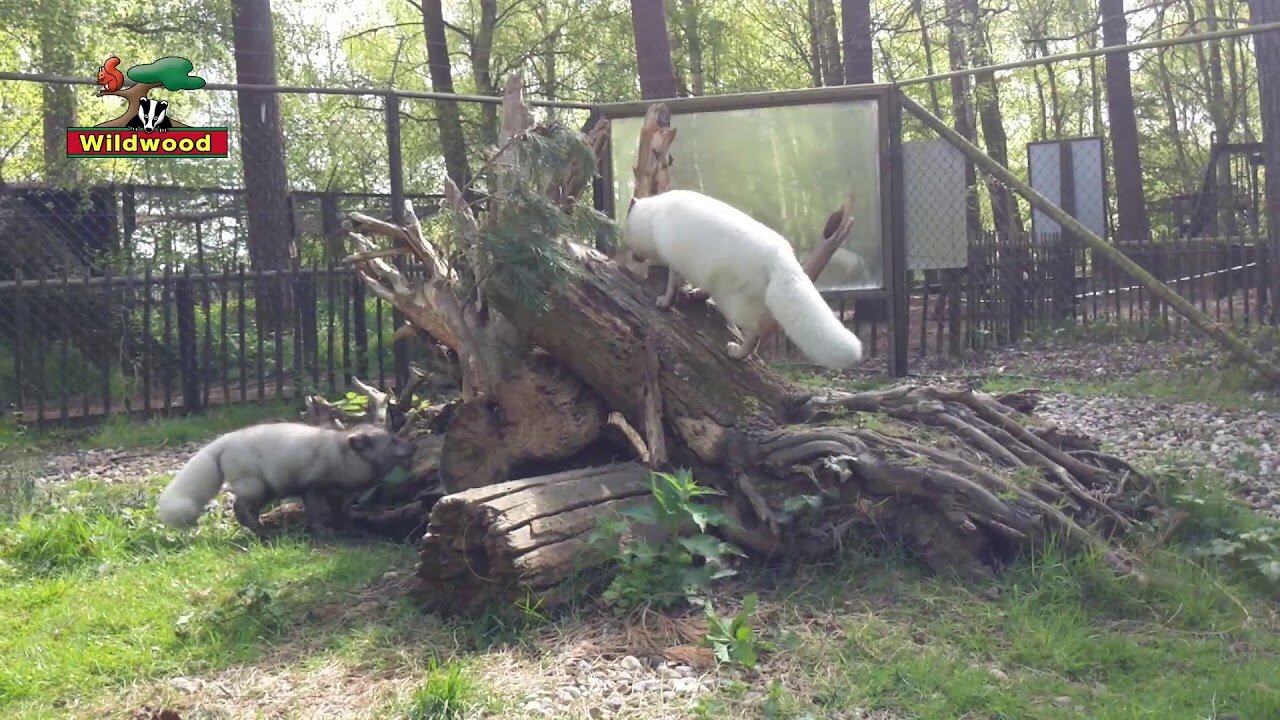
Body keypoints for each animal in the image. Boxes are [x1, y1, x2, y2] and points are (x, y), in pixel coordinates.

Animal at [154, 422, 414, 535]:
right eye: (392, 441)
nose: (413, 445)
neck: (341, 456)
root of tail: (222, 441)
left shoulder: (335, 495)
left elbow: (340, 513)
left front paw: (348, 528)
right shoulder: (312, 489)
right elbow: (315, 512)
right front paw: (322, 531)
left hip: (267, 491)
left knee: (248, 509)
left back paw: (261, 528)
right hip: (256, 487)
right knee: (238, 506)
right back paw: (260, 531)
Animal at [616, 189, 860, 366]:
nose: (634, 256)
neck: (653, 216)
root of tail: (781, 258)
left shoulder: (674, 261)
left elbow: (671, 283)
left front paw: (665, 301)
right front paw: (696, 293)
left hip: (734, 303)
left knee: (757, 332)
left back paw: (737, 352)